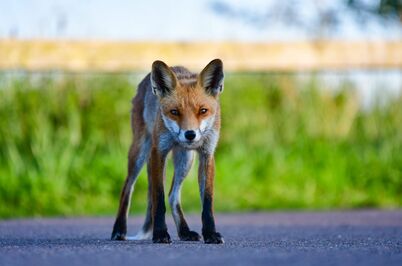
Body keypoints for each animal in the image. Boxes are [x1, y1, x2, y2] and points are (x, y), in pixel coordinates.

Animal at [112, 59, 226, 244]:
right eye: (174, 112)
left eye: (203, 111)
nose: (190, 134)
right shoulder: (159, 152)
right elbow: (158, 199)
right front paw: (160, 234)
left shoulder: (207, 154)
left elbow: (207, 203)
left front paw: (210, 233)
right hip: (140, 151)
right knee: (127, 188)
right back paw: (118, 230)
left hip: (186, 159)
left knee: (173, 195)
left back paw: (185, 232)